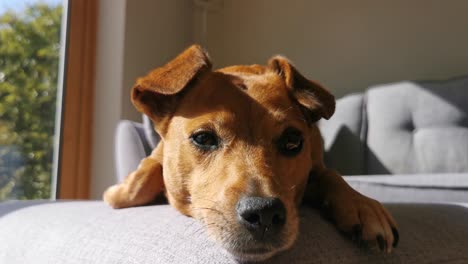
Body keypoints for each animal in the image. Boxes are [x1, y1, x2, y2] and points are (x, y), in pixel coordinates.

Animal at [105, 44, 398, 260]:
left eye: (292, 141)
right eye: (203, 138)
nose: (265, 213)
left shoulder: (316, 162)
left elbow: (330, 174)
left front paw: (362, 205)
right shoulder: (157, 155)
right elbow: (141, 178)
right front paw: (122, 190)